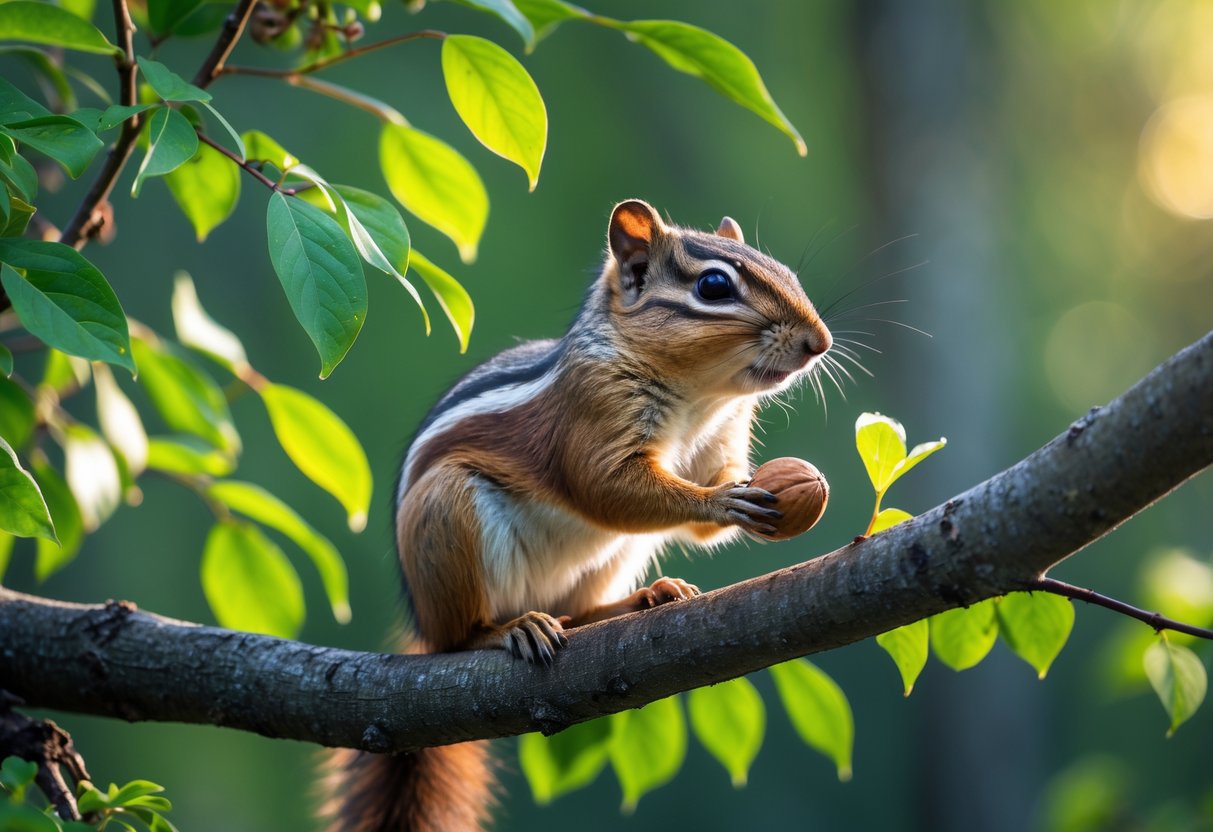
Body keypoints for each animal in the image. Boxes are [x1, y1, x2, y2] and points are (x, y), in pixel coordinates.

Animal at [323, 199, 832, 832]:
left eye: (785, 270)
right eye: (714, 286)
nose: (820, 342)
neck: (700, 396)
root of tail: (424, 626)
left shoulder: (722, 437)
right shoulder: (591, 413)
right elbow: (604, 488)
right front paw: (723, 502)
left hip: (614, 558)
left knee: (582, 611)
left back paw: (641, 599)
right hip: (447, 515)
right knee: (460, 638)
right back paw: (509, 629)